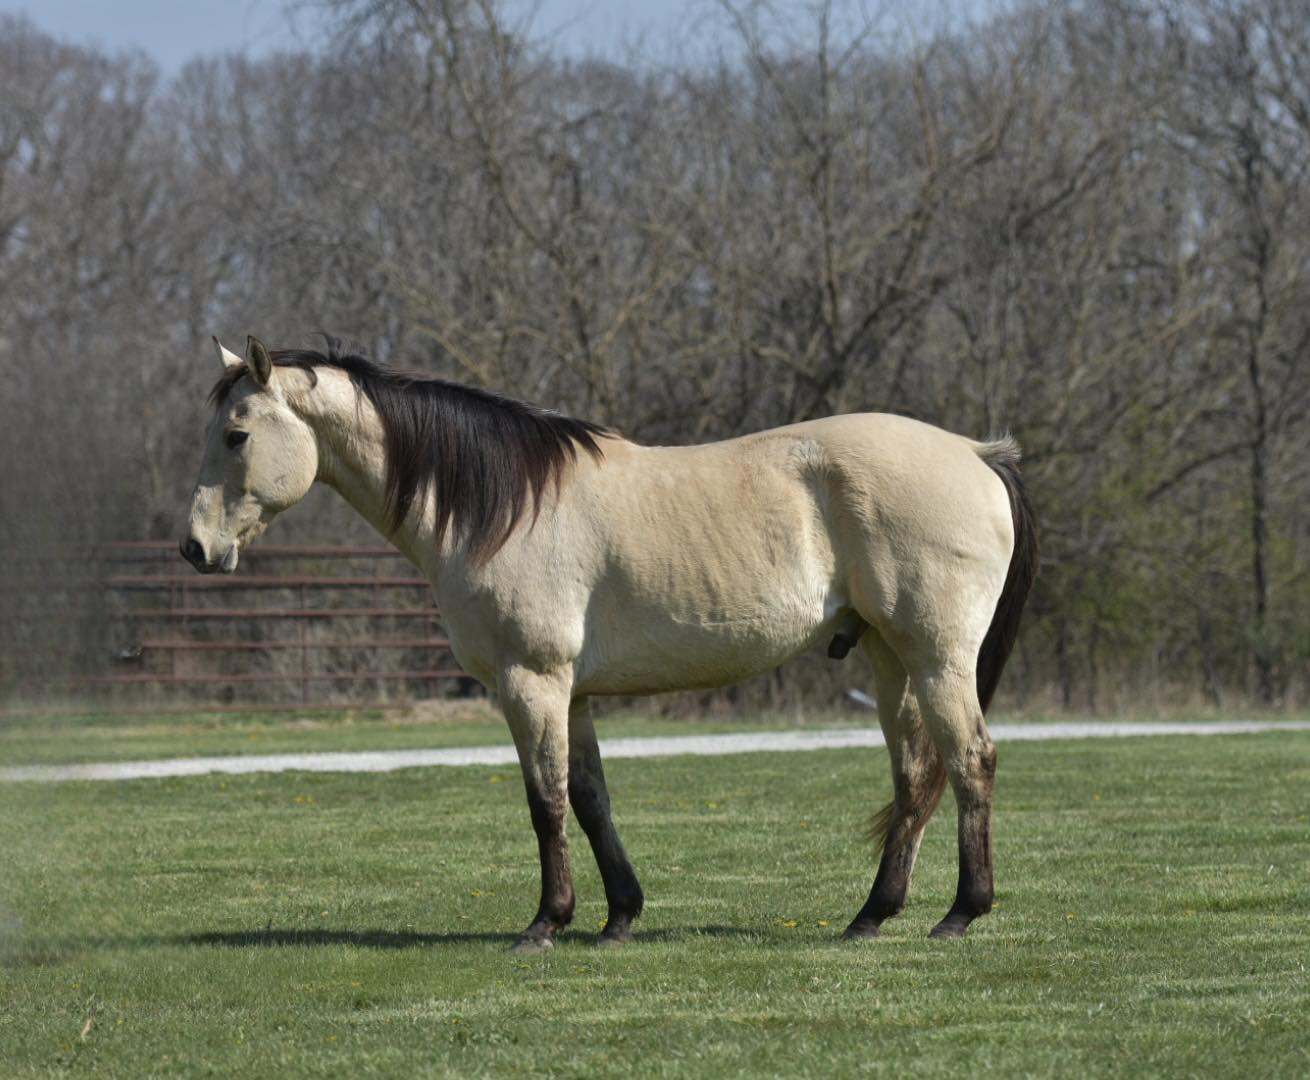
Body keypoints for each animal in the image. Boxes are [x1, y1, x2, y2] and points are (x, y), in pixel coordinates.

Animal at [184, 335, 1037, 954]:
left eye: (236, 434)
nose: (195, 549)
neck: (498, 507)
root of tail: (974, 452)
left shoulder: (531, 681)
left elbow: (546, 802)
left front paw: (546, 922)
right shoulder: (574, 695)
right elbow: (591, 799)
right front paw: (619, 916)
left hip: (937, 657)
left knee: (971, 761)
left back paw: (961, 913)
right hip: (892, 659)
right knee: (916, 774)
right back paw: (871, 915)